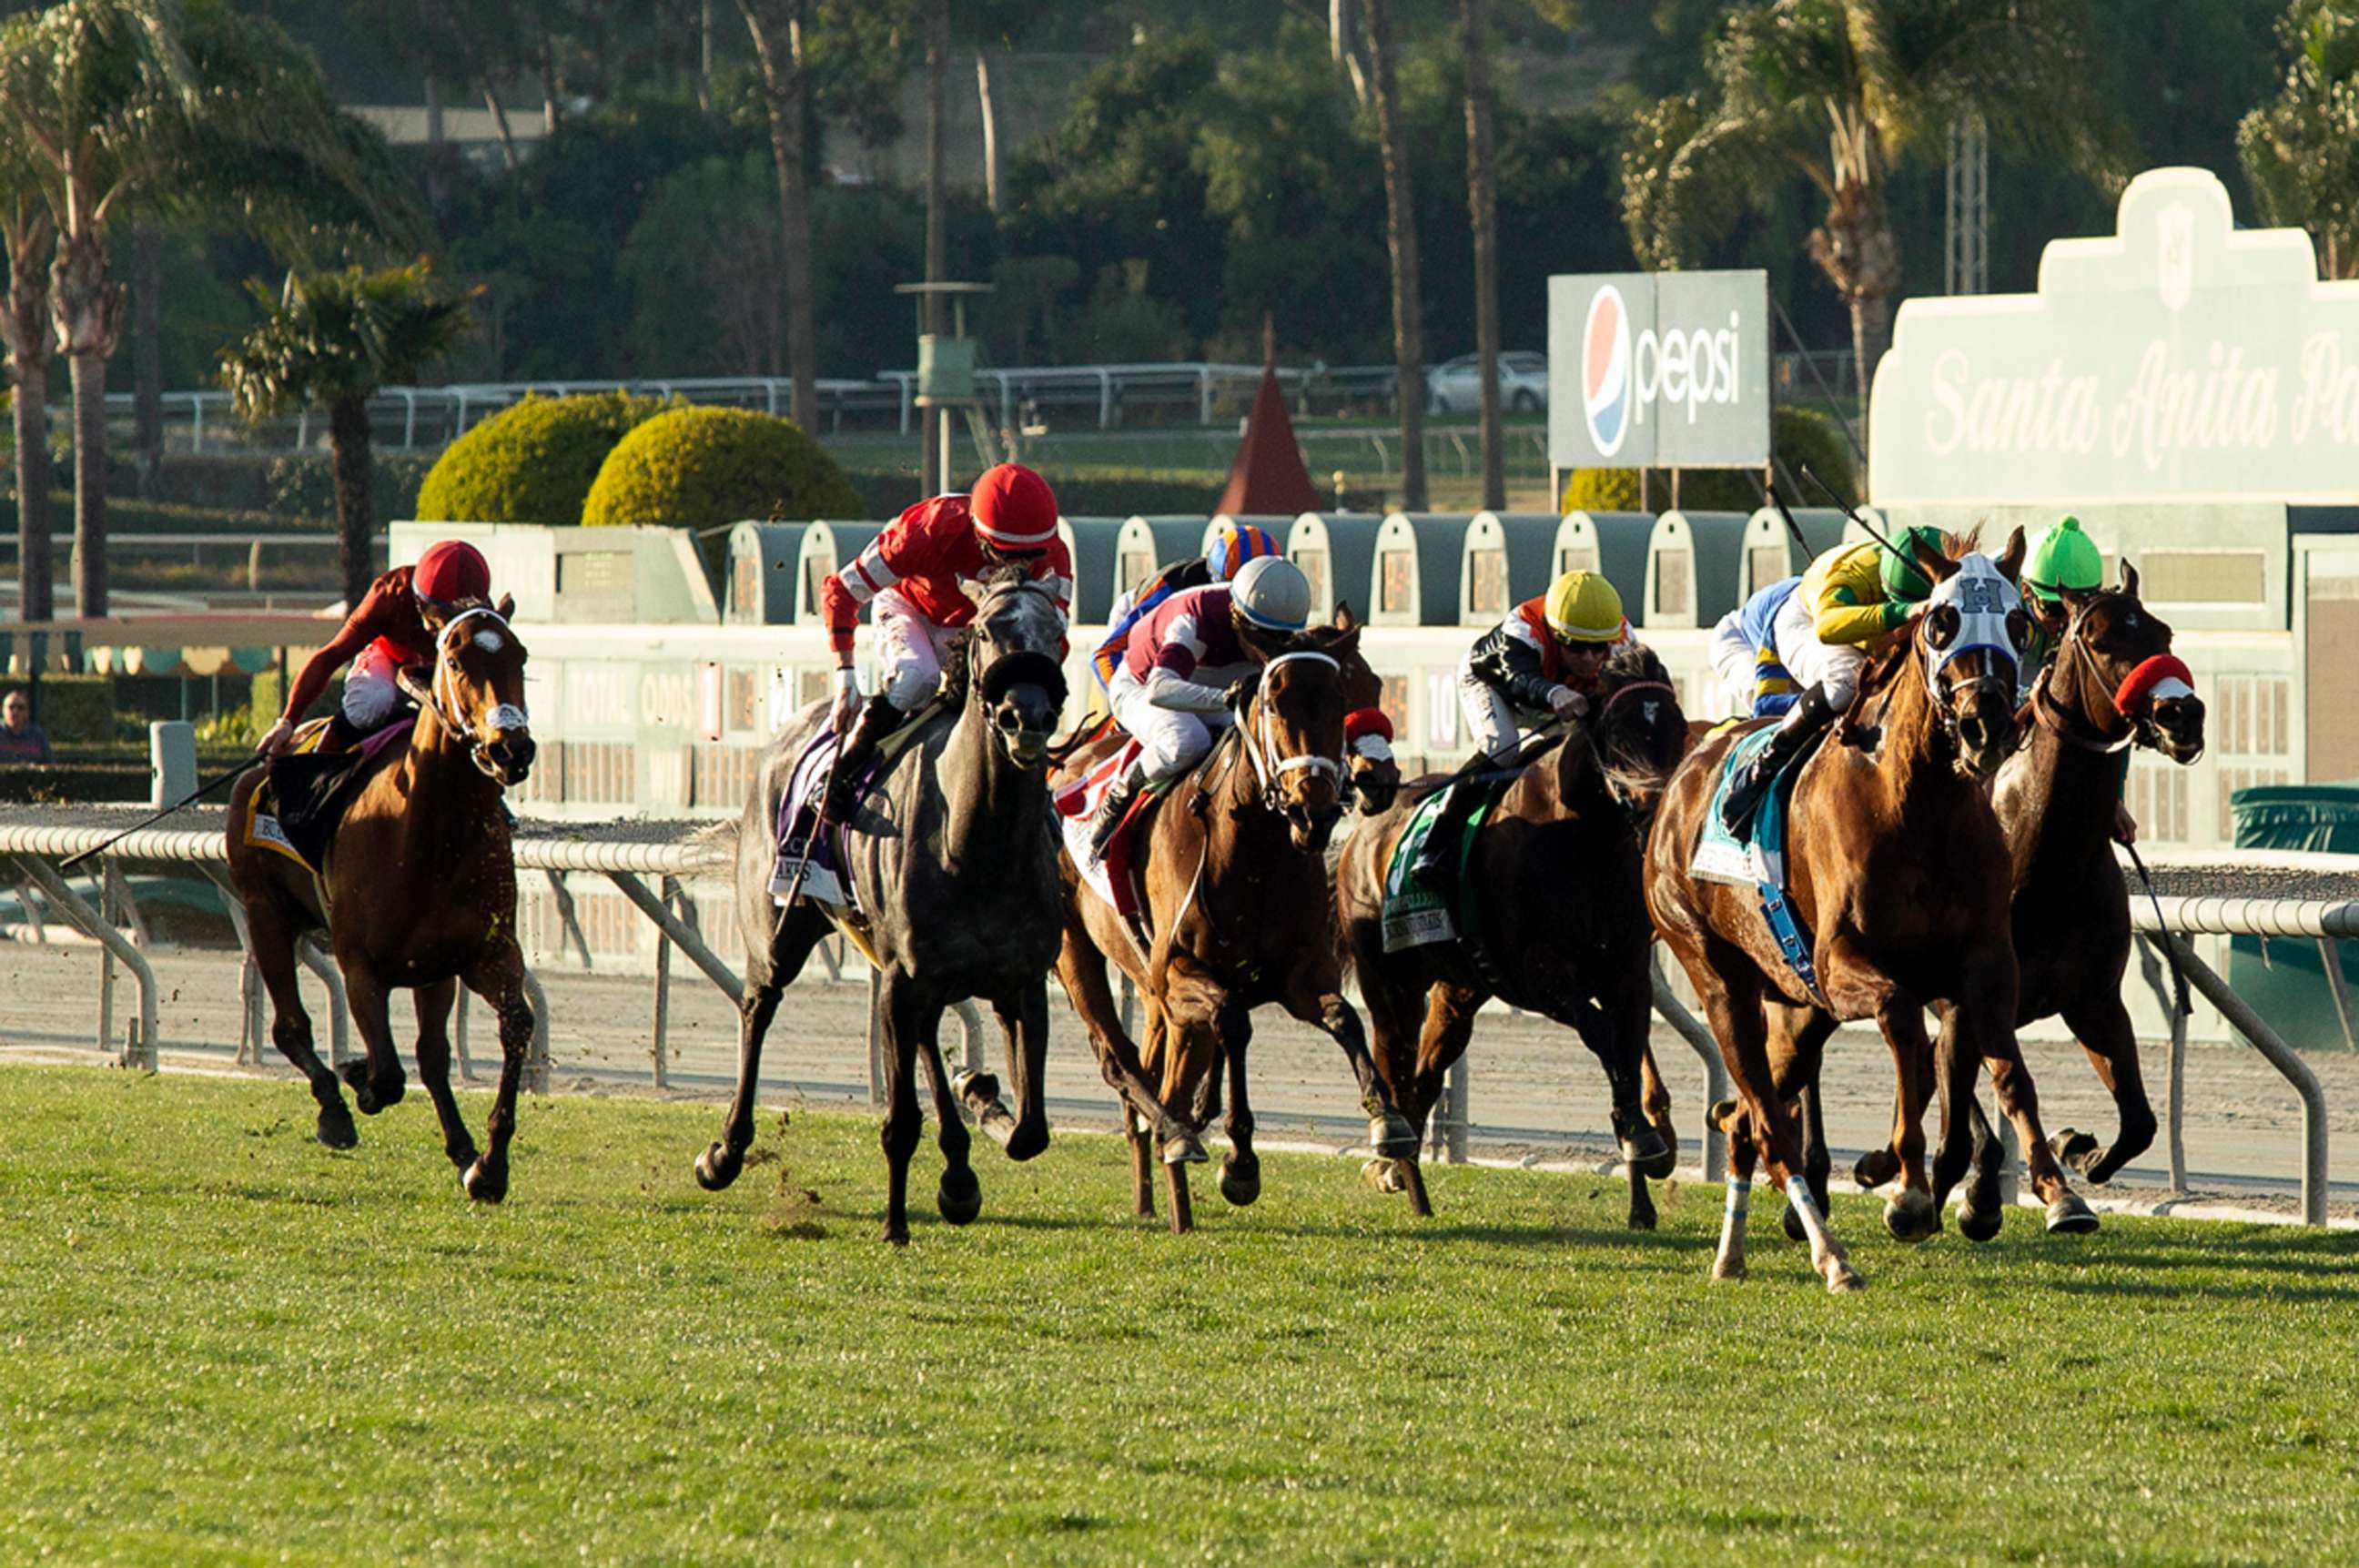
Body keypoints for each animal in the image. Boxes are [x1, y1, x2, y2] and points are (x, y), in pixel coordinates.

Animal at [226, 589, 540, 1198]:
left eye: (521, 656)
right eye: (457, 660)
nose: (511, 750)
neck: (429, 830)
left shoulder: (478, 954)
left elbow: (510, 1027)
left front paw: (488, 1166)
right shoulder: (360, 965)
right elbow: (389, 1075)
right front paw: (357, 1077)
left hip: (430, 968)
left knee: (431, 1055)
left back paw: (458, 1144)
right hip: (265, 912)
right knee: (289, 1026)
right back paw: (333, 1108)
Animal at [1057, 617, 1415, 1226]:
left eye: (1347, 694)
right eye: (1273, 702)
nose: (1314, 810)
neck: (1254, 856)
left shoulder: (1301, 974)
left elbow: (1344, 1019)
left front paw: (1386, 1120)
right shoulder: (1181, 971)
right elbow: (1233, 1023)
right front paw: (1240, 1160)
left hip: (1151, 989)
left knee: (1157, 1068)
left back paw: (1154, 1190)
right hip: (1078, 950)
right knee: (1121, 1060)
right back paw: (1176, 1138)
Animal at [1330, 641, 1698, 1226]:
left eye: (1677, 726)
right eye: (1618, 730)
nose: (1652, 811)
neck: (1583, 836)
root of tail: (1363, 831)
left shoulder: (1627, 974)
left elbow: (1626, 1046)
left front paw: (1643, 1173)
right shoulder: (1539, 976)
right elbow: (1605, 1037)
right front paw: (1645, 1141)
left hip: (1459, 990)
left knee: (1426, 1076)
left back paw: (1406, 1178)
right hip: (1389, 981)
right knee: (1396, 1065)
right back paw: (1397, 1161)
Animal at [1651, 532, 2094, 1291]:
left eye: (2016, 622)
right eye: (1941, 622)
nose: (1985, 726)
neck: (1917, 805)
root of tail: (1683, 772)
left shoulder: (1985, 958)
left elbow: (2008, 1070)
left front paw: (2058, 1189)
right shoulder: (1841, 963)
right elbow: (1903, 1026)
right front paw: (1906, 1188)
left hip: (1796, 1008)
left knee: (1745, 1123)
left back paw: (1732, 1254)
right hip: (1720, 977)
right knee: (1770, 1125)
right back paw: (1831, 1256)